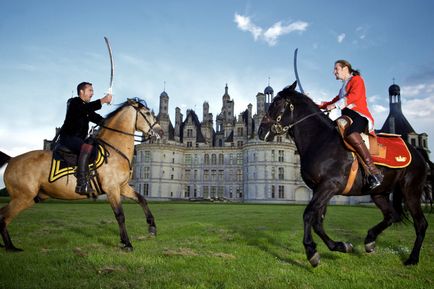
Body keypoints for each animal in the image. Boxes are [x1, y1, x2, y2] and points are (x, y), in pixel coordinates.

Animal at [0, 97, 163, 250]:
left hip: (33, 197)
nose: (160, 132)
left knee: (2, 215)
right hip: (23, 197)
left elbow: (142, 199)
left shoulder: (122, 187)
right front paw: (127, 243)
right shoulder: (112, 189)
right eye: (148, 113)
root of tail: (12, 158)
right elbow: (120, 215)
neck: (114, 150)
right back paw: (10, 247)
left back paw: (9, 246)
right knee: (4, 217)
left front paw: (152, 227)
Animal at [256, 80, 428, 266]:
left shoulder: (329, 186)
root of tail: (417, 151)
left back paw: (412, 258)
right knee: (392, 215)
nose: (260, 132)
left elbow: (308, 214)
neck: (319, 139)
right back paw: (369, 240)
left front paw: (311, 251)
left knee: (421, 223)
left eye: (276, 103)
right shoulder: (319, 189)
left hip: (410, 190)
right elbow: (318, 221)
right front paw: (340, 246)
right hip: (379, 193)